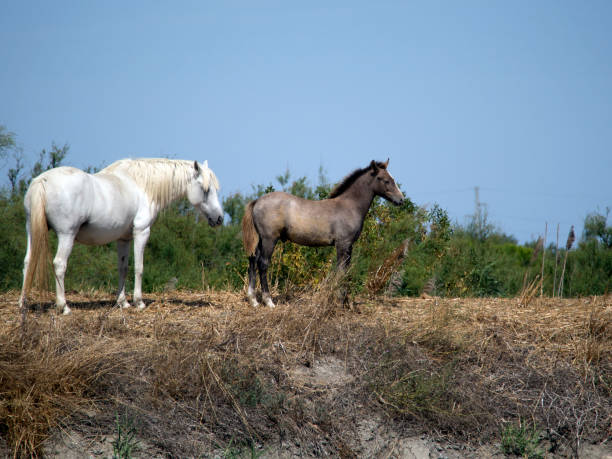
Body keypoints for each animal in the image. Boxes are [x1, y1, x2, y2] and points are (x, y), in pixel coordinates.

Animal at [18, 159, 225, 316]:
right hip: (66, 235)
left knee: (28, 262)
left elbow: (123, 268)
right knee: (60, 264)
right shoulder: (142, 232)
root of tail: (42, 181)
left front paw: (122, 302)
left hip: (31, 231)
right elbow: (139, 268)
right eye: (205, 189)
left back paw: (23, 303)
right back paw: (64, 306)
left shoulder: (123, 239)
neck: (142, 185)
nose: (219, 219)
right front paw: (138, 302)